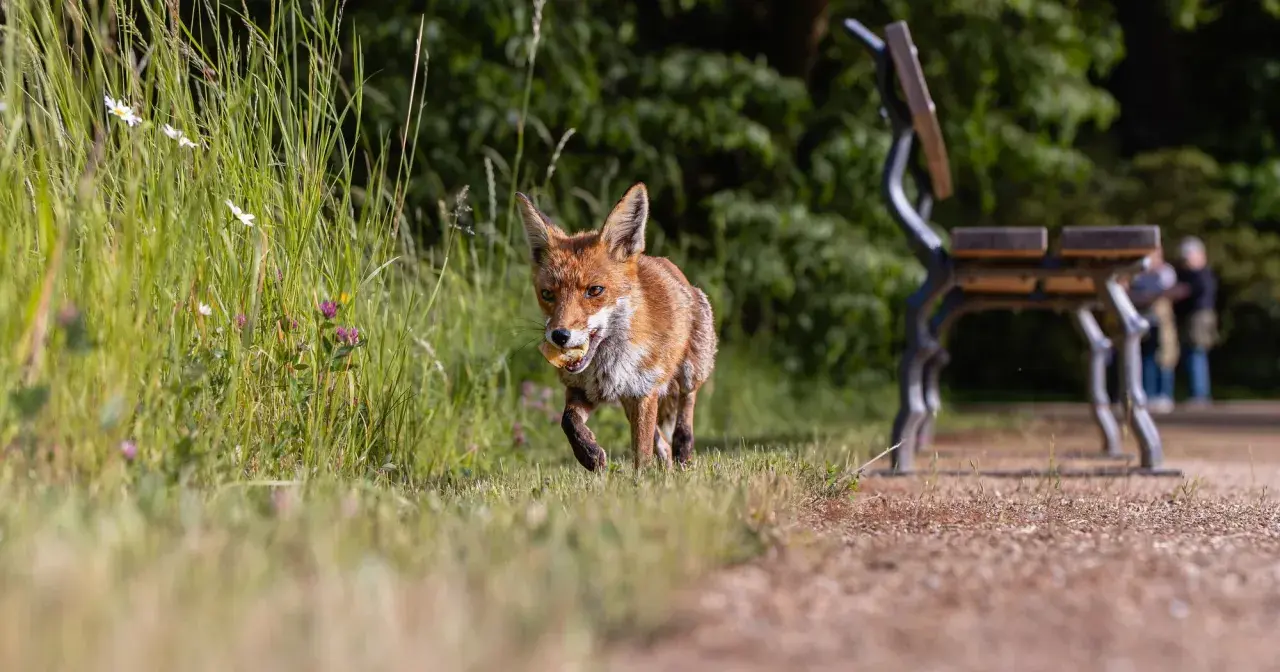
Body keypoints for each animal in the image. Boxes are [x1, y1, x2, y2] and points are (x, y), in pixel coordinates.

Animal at [516, 182, 718, 472]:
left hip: (691, 369)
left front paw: (641, 479)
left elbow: (641, 452)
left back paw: (683, 450)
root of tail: (667, 264)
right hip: (627, 402)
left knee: (686, 405)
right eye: (547, 294)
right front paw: (589, 454)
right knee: (661, 441)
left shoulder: (645, 391)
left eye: (595, 290)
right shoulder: (583, 390)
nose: (560, 336)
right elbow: (568, 421)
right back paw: (667, 464)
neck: (608, 365)